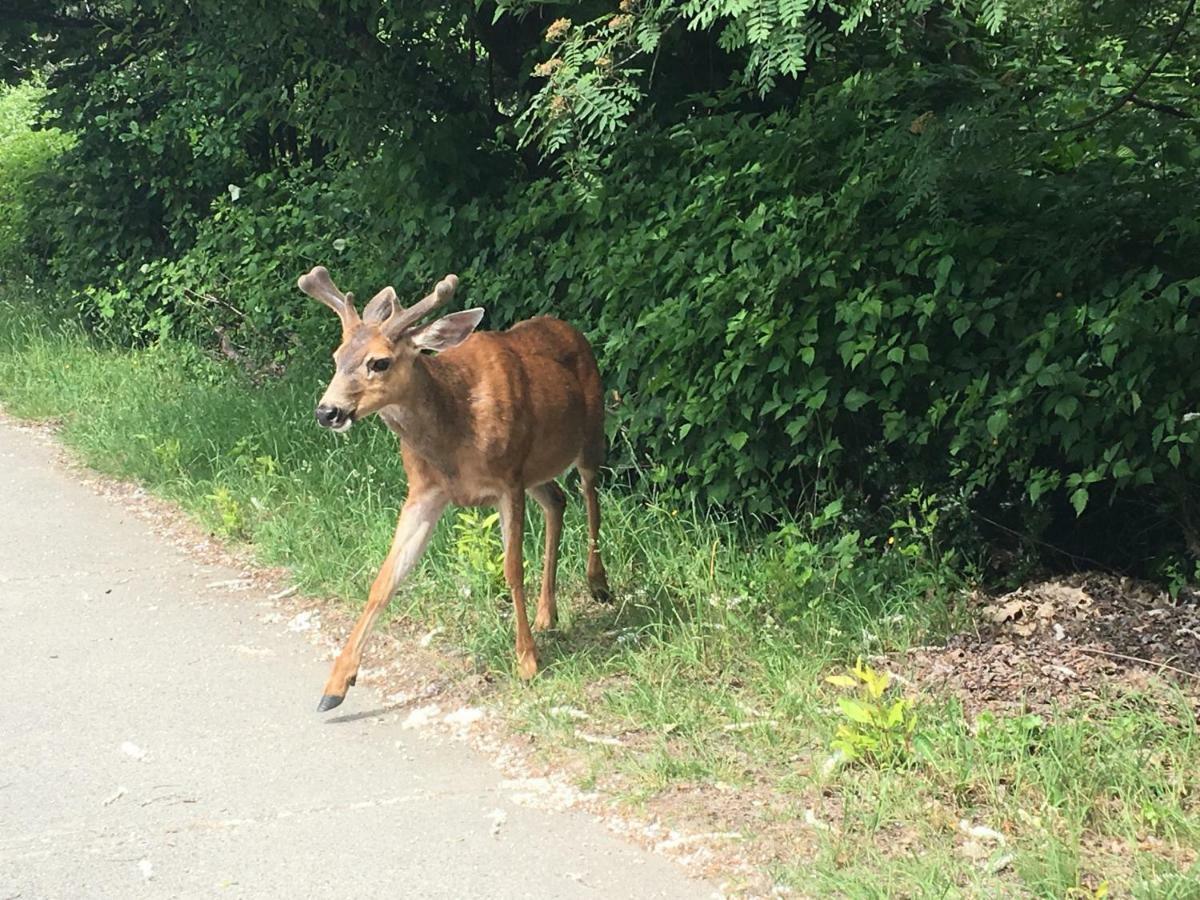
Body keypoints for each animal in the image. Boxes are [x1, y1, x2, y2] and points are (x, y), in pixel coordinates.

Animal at [296, 264, 614, 715]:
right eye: (337, 358)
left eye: (380, 362)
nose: (328, 411)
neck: (455, 429)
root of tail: (568, 327)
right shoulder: (424, 492)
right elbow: (386, 577)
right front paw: (336, 685)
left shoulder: (507, 480)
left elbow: (512, 569)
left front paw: (527, 661)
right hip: (537, 470)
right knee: (557, 501)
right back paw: (546, 614)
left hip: (590, 434)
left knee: (590, 497)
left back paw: (597, 583)